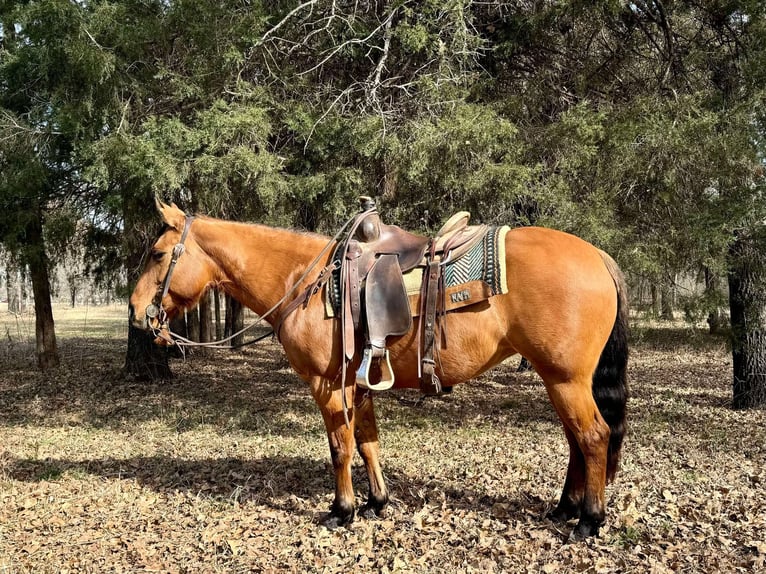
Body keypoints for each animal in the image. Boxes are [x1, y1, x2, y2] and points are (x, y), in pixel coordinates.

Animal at [129, 201, 629, 539]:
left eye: (157, 254)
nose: (135, 311)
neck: (303, 280)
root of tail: (599, 256)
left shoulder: (327, 386)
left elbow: (340, 448)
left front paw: (343, 510)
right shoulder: (360, 383)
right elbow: (368, 442)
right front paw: (377, 503)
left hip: (565, 379)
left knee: (593, 437)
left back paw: (589, 520)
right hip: (559, 380)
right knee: (576, 441)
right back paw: (565, 508)